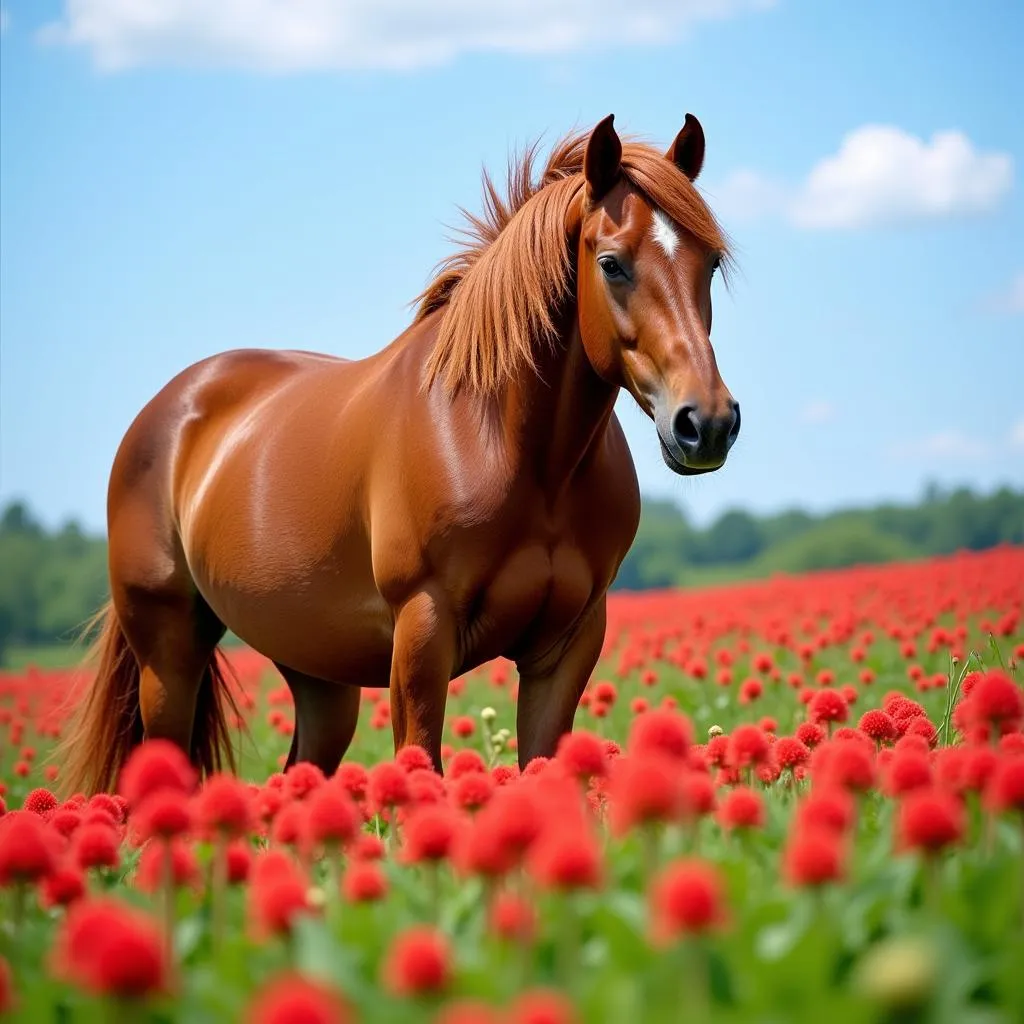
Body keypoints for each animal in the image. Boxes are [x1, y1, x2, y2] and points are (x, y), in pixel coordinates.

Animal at [61, 116, 737, 794]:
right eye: (611, 264)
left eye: (710, 264)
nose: (706, 424)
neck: (514, 449)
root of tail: (170, 409)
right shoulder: (421, 632)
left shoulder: (566, 646)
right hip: (169, 653)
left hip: (317, 673)